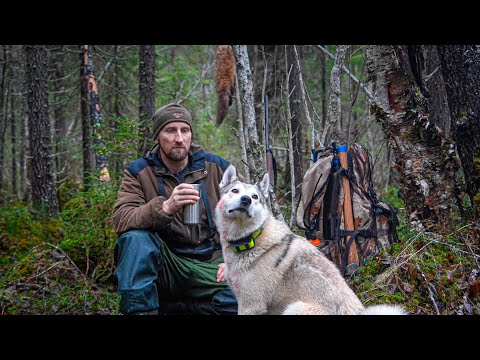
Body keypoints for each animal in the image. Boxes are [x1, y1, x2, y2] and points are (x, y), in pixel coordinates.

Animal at [216, 165, 406, 316]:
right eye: (235, 191)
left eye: (255, 197)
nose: (246, 200)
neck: (251, 238)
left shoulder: (251, 305)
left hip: (295, 308)